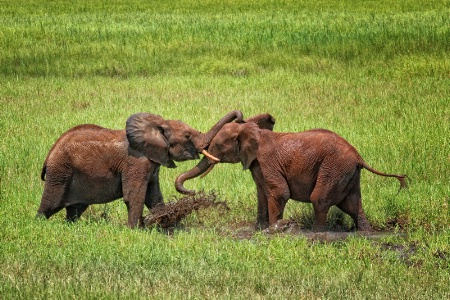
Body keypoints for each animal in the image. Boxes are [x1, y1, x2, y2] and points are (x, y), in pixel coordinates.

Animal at [37, 110, 243, 227]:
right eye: (187, 136)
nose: (240, 119)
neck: (158, 127)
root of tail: (50, 153)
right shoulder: (136, 162)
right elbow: (135, 195)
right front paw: (135, 230)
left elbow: (153, 196)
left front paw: (165, 223)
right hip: (60, 172)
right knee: (50, 205)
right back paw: (39, 225)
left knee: (75, 210)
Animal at [176, 113, 408, 231]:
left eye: (216, 146)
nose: (194, 193)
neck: (253, 131)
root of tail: (358, 156)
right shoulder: (256, 165)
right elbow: (262, 195)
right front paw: (259, 229)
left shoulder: (267, 162)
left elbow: (279, 193)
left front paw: (273, 229)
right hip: (346, 173)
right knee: (353, 205)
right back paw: (365, 233)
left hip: (333, 168)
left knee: (319, 200)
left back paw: (317, 233)